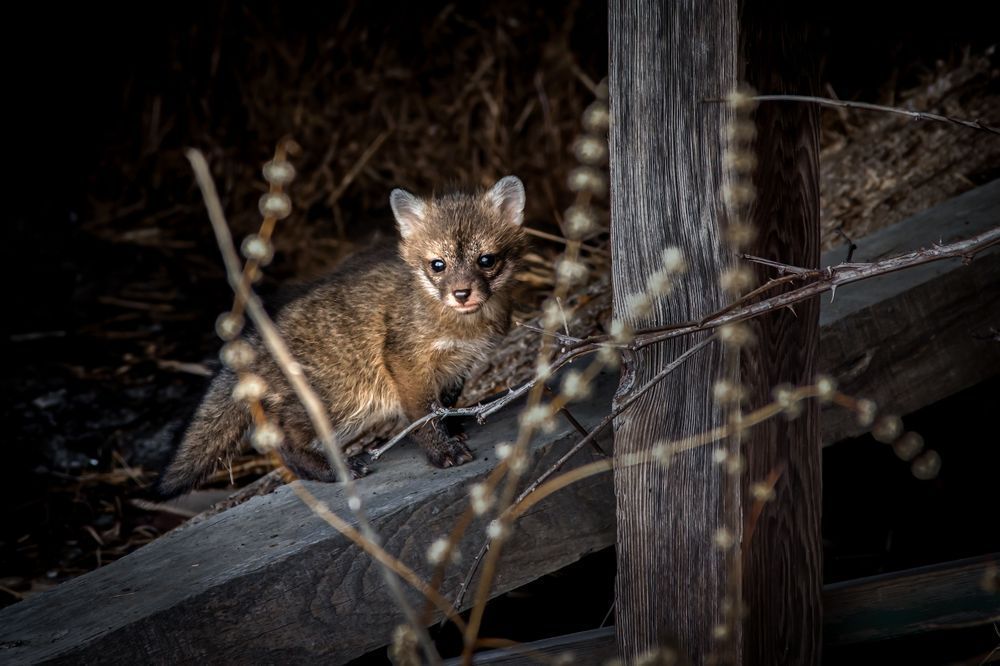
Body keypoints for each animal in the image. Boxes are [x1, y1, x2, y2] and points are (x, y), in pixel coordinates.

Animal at [159, 176, 528, 495]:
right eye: (438, 265)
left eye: (486, 260)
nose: (462, 294)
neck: (461, 325)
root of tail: (257, 337)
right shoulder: (406, 363)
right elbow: (423, 417)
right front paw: (442, 451)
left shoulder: (456, 368)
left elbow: (444, 408)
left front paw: (453, 432)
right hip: (339, 403)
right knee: (283, 441)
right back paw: (332, 470)